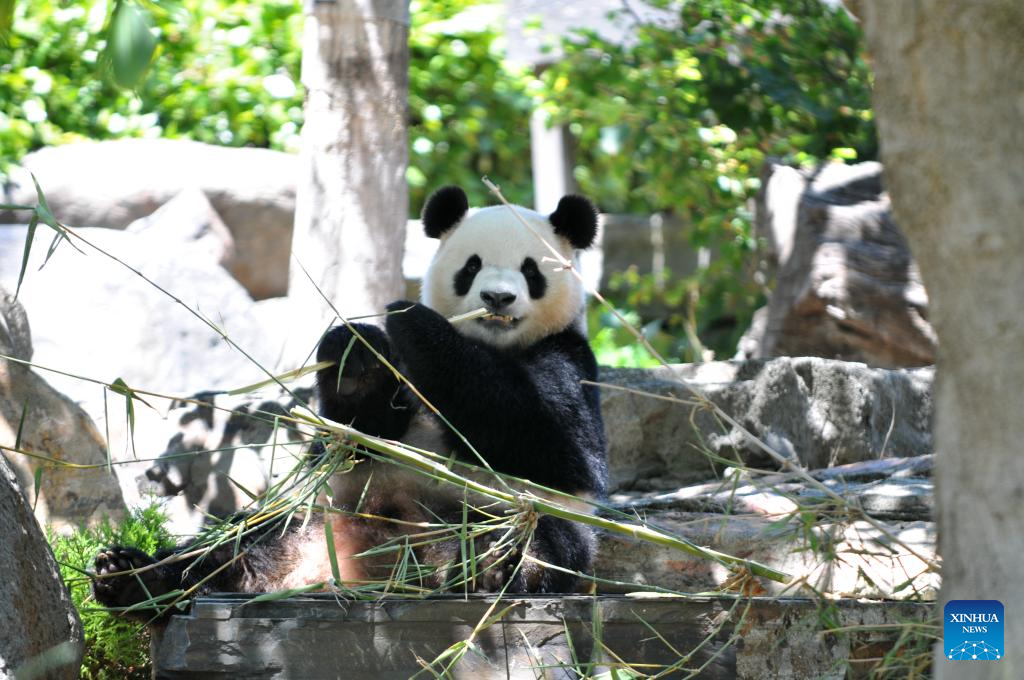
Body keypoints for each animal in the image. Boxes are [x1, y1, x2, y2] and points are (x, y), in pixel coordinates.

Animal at [92, 183, 606, 614]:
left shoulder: (570, 360)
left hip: (517, 517)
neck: (492, 344)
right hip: (304, 516)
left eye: (530, 269)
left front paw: (416, 322)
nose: (497, 298)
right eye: (472, 265)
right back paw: (131, 576)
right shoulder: (392, 405)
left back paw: (488, 565)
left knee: (532, 541)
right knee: (229, 544)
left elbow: (549, 440)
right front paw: (355, 352)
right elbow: (358, 434)